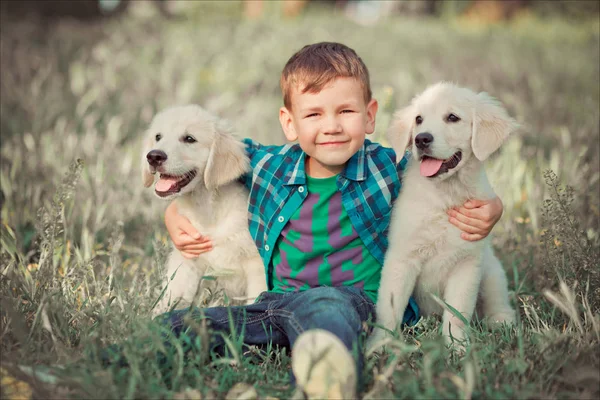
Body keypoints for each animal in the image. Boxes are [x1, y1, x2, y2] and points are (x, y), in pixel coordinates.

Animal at [142, 104, 266, 316]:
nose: (154, 156)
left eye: (189, 139)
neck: (208, 210)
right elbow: (173, 296)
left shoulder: (256, 265)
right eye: (158, 136)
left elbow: (257, 297)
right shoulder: (187, 261)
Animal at [376, 82, 516, 346]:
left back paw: (502, 321)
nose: (421, 139)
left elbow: (457, 312)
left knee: (497, 299)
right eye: (418, 119)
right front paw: (381, 344)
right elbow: (389, 309)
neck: (445, 197)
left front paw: (456, 346)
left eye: (452, 118)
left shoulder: (467, 263)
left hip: (490, 269)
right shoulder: (401, 257)